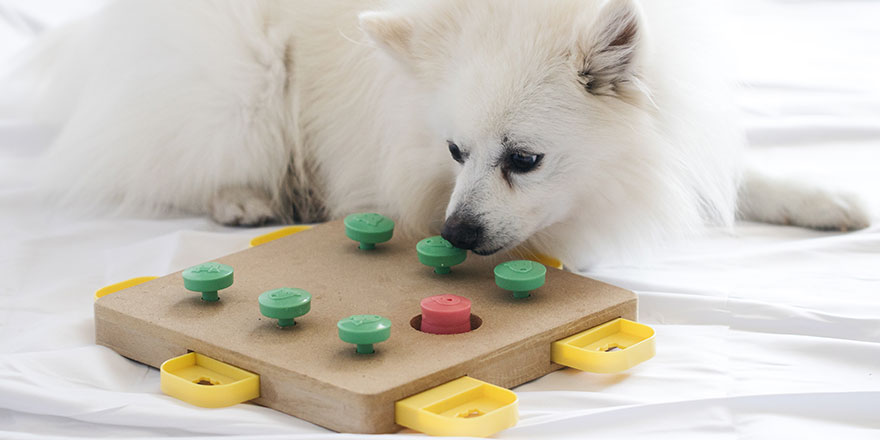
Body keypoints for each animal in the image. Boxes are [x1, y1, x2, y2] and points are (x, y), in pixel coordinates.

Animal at [12, 0, 868, 268]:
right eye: (454, 153)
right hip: (242, 82)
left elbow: (735, 175)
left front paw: (821, 198)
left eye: (524, 159)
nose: (456, 233)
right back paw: (247, 197)